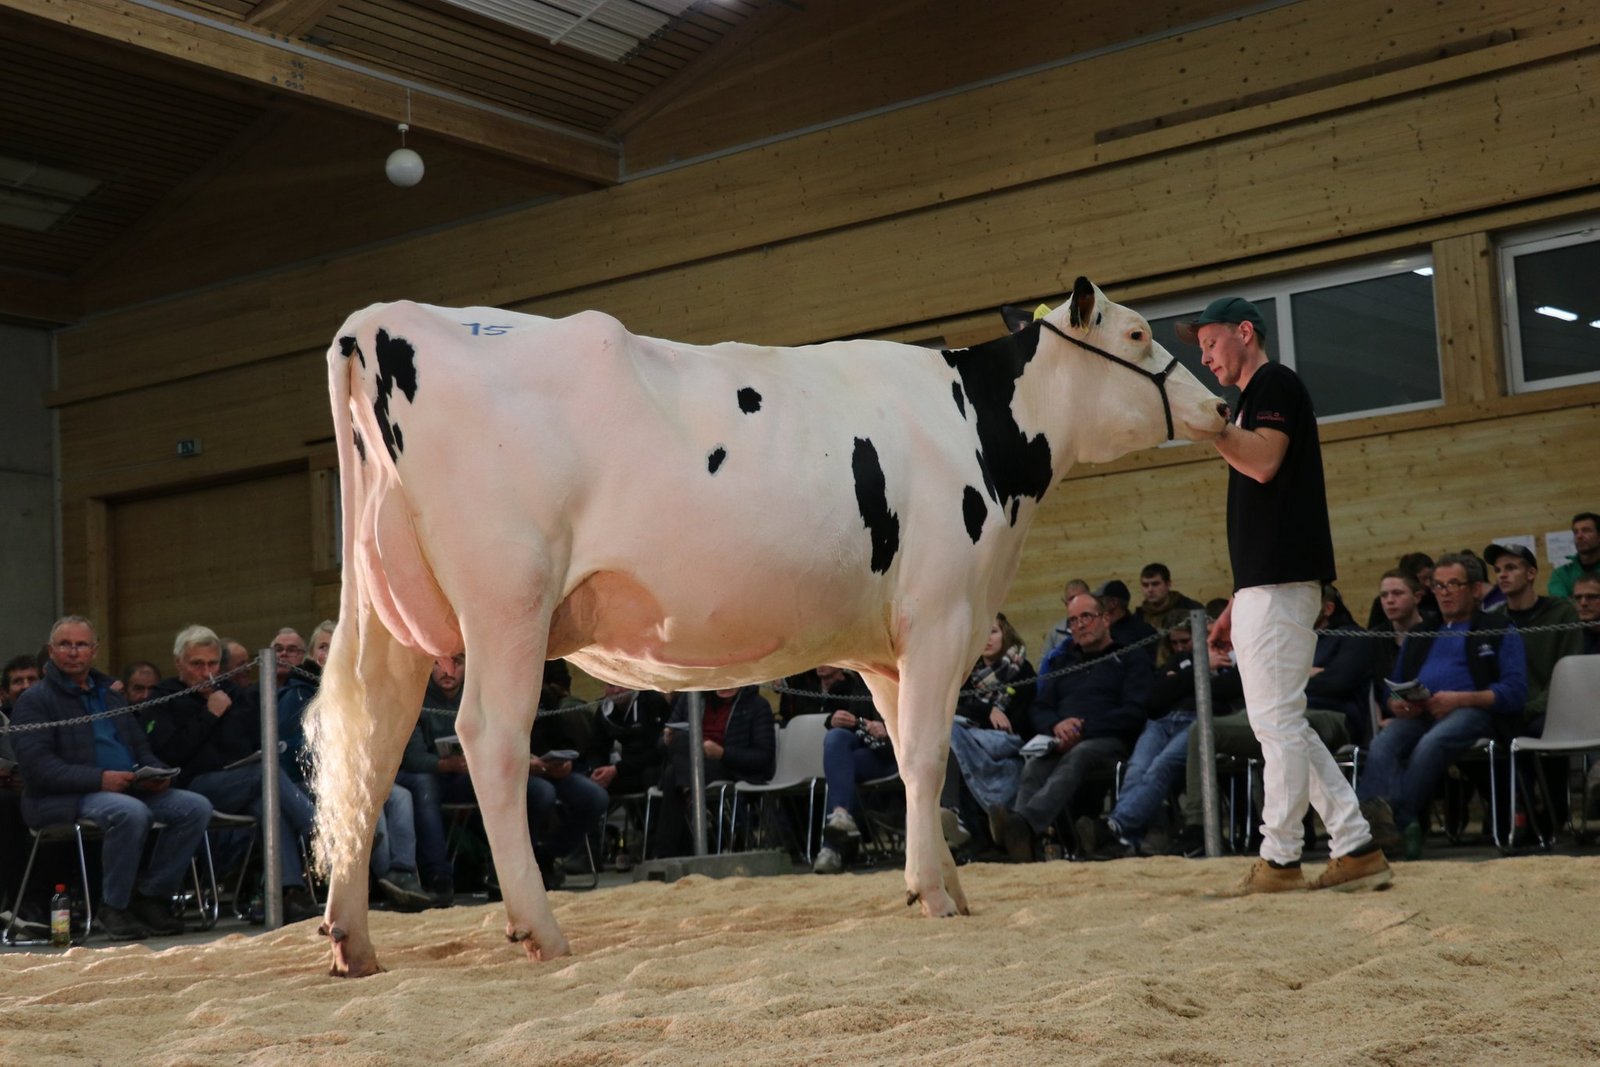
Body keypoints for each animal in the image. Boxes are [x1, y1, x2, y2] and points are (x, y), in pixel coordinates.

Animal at [305, 276, 1228, 976]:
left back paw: (352, 938)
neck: (974, 429)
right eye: (1139, 332)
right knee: (489, 739)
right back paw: (541, 927)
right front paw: (934, 892)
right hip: (509, 599)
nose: (1221, 407)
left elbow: (906, 756)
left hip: (390, 617)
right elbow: (930, 757)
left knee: (370, 747)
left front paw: (945, 882)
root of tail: (380, 319)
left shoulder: (889, 648)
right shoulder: (941, 613)